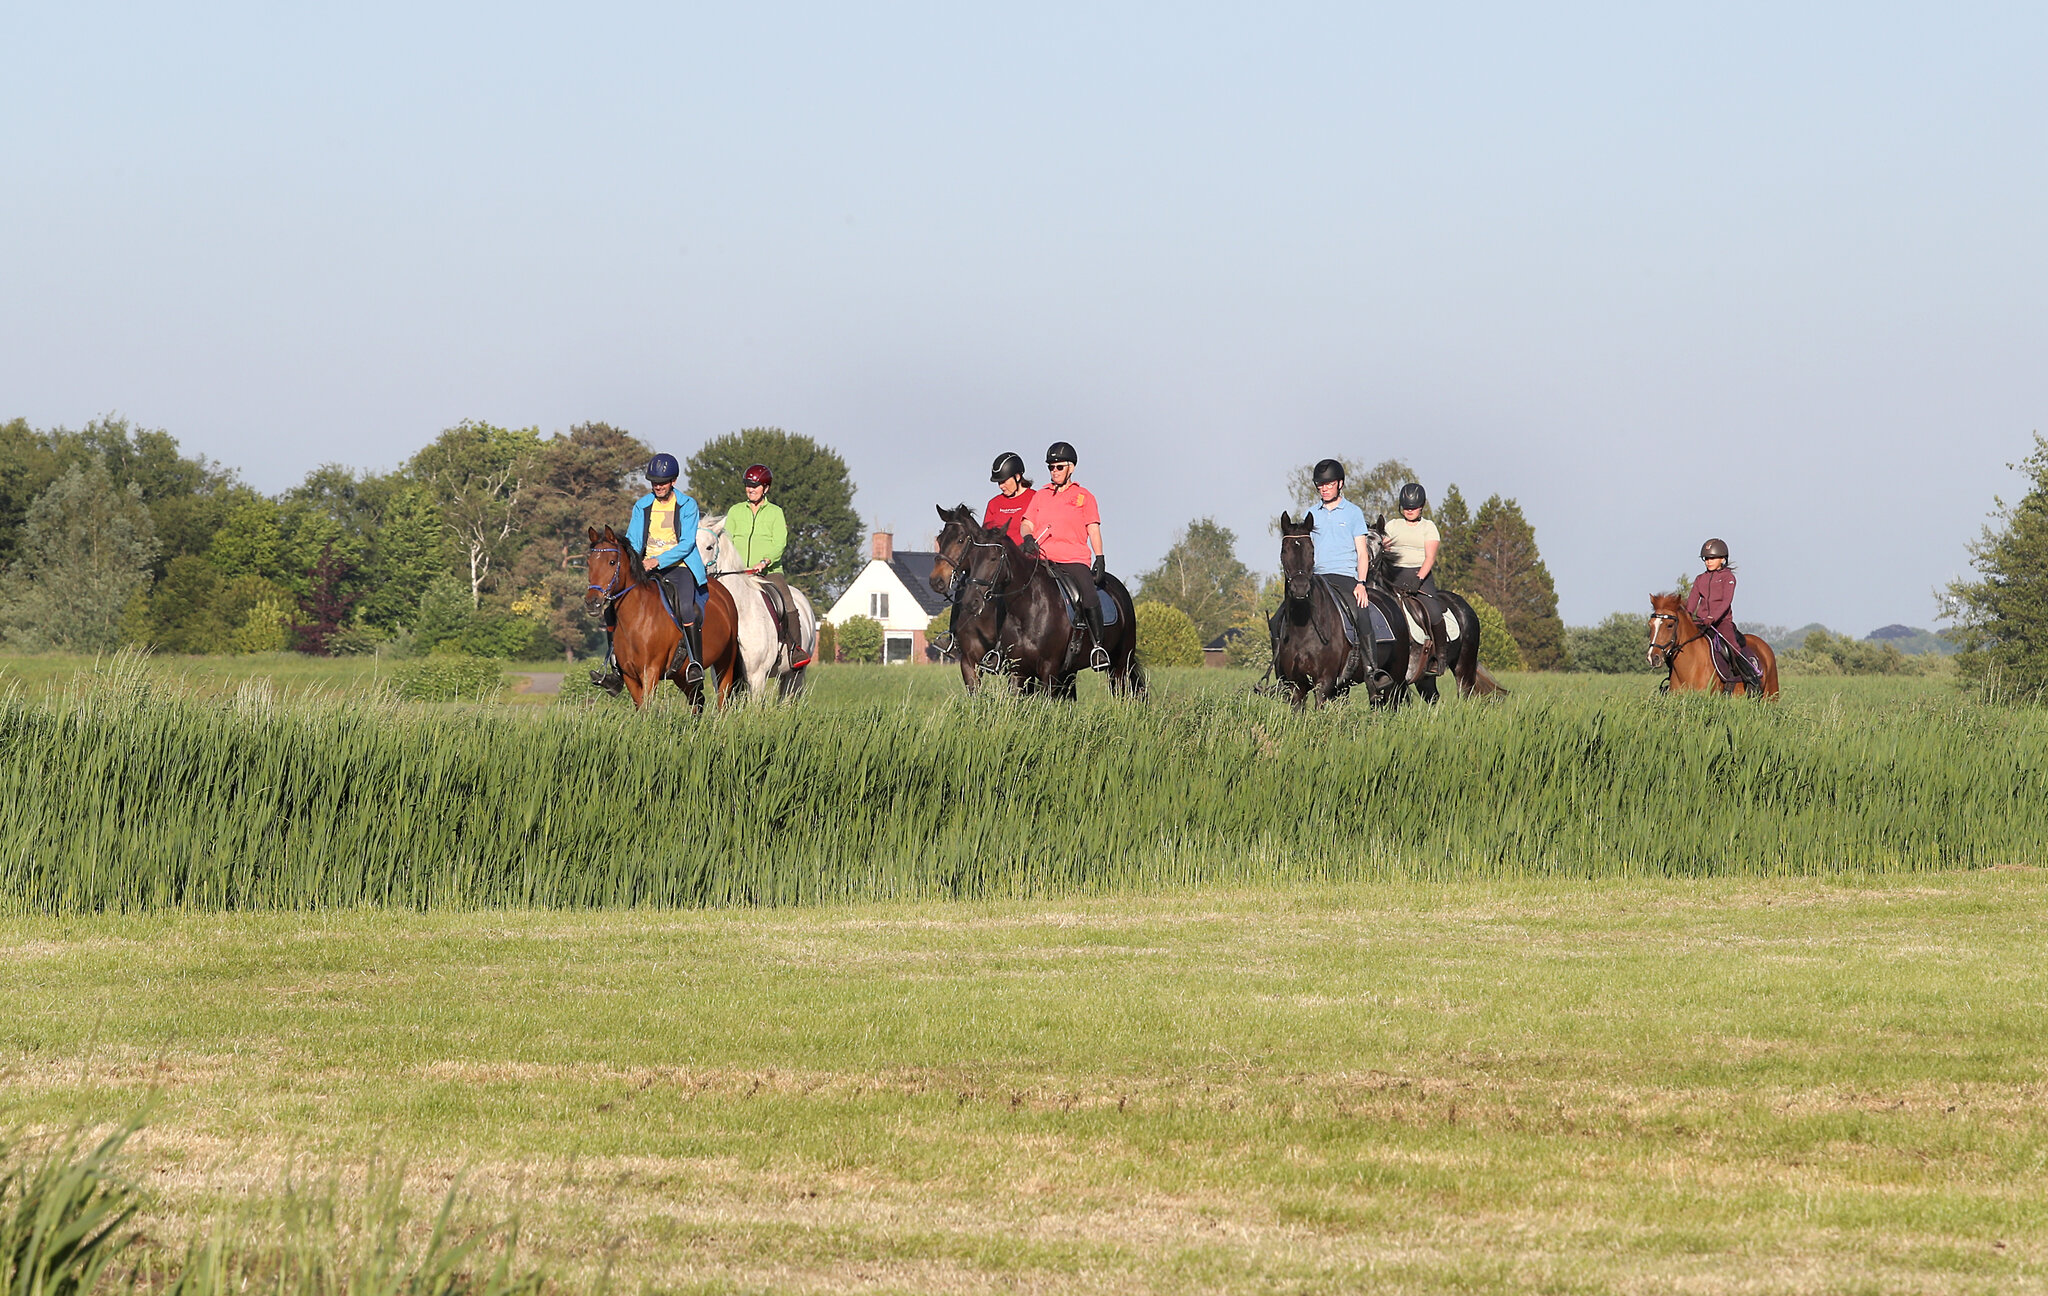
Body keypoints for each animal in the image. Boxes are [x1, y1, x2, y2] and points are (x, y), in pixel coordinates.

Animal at [584, 525, 743, 711]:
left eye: (612, 562)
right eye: (589, 563)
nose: (592, 602)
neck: (637, 618)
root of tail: (723, 593)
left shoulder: (650, 671)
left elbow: (647, 708)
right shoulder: (630, 676)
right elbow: (640, 707)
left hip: (725, 661)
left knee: (722, 699)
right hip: (681, 675)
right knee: (698, 700)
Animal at [940, 509, 1145, 698]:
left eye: (993, 558)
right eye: (973, 557)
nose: (971, 601)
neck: (1028, 608)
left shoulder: (1049, 668)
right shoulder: (1013, 669)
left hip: (1121, 661)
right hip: (1071, 669)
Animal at [1270, 511, 1405, 708]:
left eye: (1311, 551)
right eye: (1284, 551)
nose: (1300, 588)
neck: (1303, 625)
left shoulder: (1324, 683)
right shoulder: (1297, 686)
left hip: (1396, 680)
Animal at [1363, 515, 1488, 703]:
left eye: (1379, 543)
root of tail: (1465, 607)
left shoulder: (1401, 677)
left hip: (1463, 665)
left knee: (1465, 692)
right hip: (1425, 678)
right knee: (1433, 697)